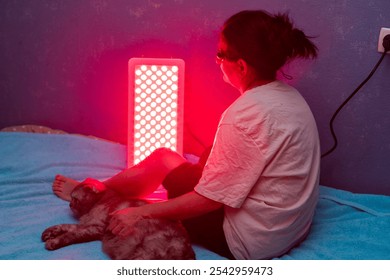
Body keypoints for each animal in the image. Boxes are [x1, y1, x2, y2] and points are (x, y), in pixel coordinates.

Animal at [40, 180, 195, 260]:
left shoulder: (95, 228)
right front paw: (49, 233)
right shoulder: (87, 224)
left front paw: (53, 241)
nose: (70, 205)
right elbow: (65, 226)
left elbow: (69, 235)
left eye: (75, 199)